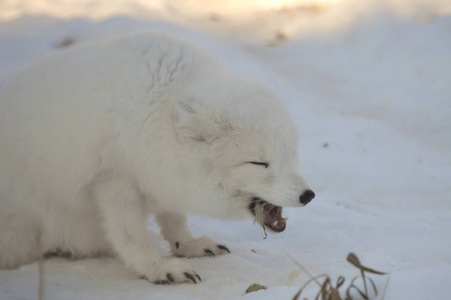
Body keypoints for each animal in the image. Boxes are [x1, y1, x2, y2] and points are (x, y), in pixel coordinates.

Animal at [0, 32, 316, 284]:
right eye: (259, 163)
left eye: (291, 153)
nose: (308, 195)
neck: (160, 107)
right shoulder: (113, 180)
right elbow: (130, 235)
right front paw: (157, 268)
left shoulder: (164, 174)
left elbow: (174, 218)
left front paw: (189, 245)